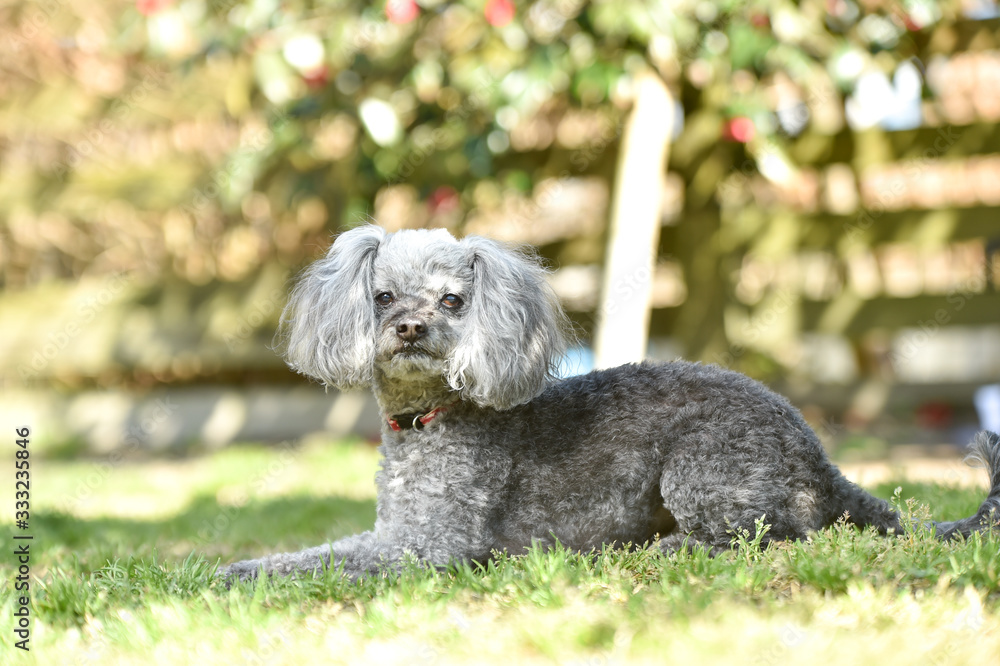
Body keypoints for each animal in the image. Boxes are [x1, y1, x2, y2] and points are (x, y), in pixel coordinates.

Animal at [222, 225, 1000, 582]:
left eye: (452, 301)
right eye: (381, 296)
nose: (409, 327)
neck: (431, 419)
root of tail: (818, 458)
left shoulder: (430, 548)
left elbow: (328, 563)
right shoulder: (392, 533)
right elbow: (314, 552)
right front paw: (236, 568)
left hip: (703, 468)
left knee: (773, 536)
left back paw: (666, 547)